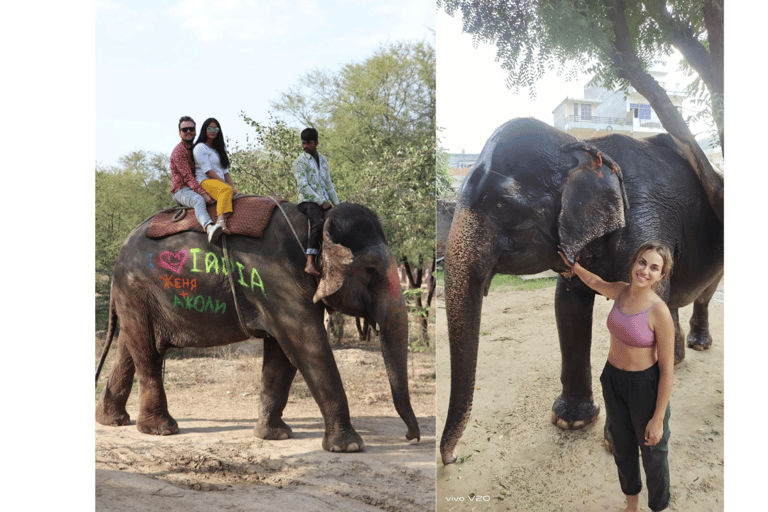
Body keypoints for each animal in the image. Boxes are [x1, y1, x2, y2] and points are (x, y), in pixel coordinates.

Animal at [97, 201, 424, 452]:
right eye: (371, 271)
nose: (411, 438)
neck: (315, 222)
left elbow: (282, 354)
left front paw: (275, 435)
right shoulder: (275, 277)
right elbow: (307, 344)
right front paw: (349, 447)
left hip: (135, 296)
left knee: (130, 346)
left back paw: (113, 421)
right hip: (137, 288)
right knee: (147, 352)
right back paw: (161, 430)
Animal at [440, 117, 724, 464]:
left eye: (500, 205)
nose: (452, 458)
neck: (584, 147)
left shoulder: (648, 222)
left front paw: (624, 443)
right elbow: (568, 305)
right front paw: (570, 421)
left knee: (704, 294)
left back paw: (699, 345)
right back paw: (677, 360)